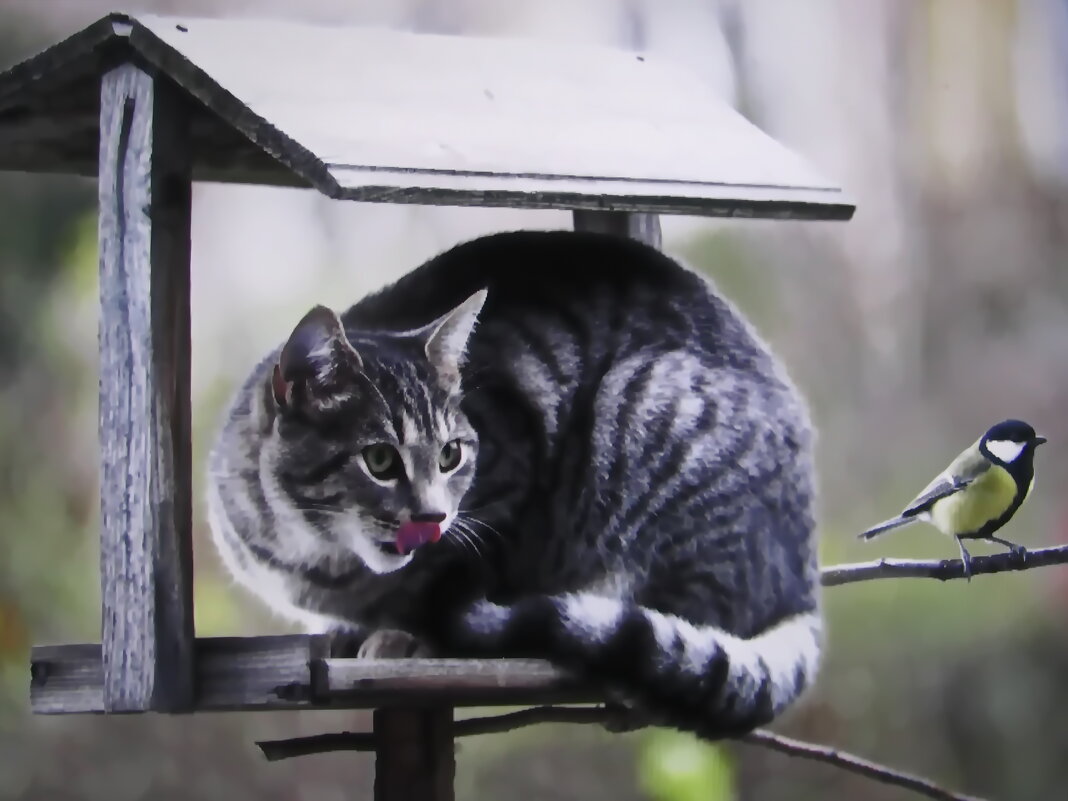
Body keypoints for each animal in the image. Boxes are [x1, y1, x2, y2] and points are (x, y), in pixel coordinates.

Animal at [210, 227, 824, 739]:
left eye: (451, 455)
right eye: (380, 460)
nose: (433, 517)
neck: (318, 557)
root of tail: (804, 578)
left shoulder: (509, 488)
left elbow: (464, 580)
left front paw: (409, 636)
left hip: (646, 405)